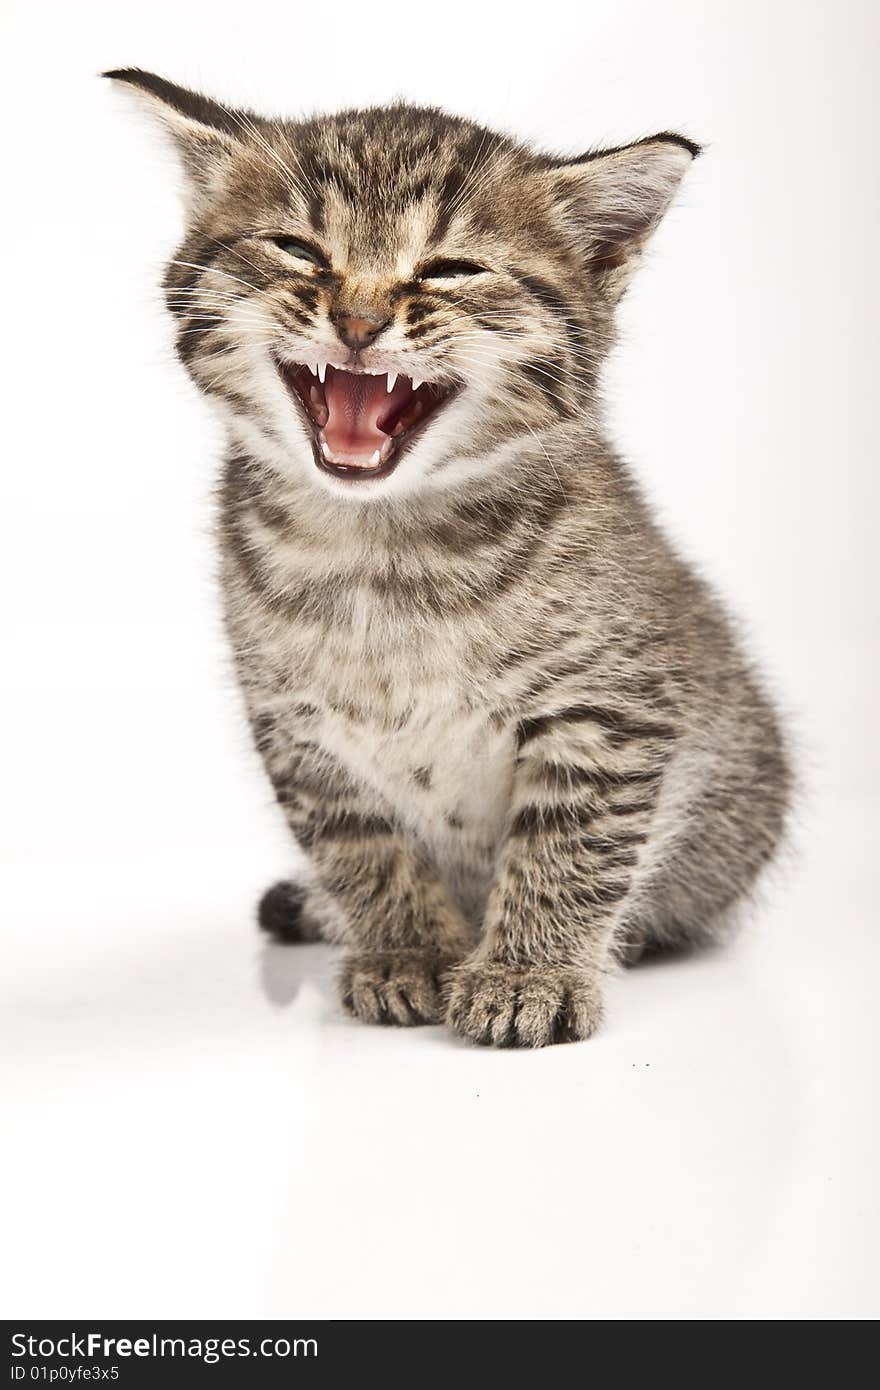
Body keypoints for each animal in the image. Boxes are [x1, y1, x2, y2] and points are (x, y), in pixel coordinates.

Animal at [104, 65, 789, 1045]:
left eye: (451, 269)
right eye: (298, 250)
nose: (357, 319)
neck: (382, 547)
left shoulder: (613, 711)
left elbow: (571, 842)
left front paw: (528, 972)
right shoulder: (297, 729)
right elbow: (359, 843)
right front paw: (407, 951)